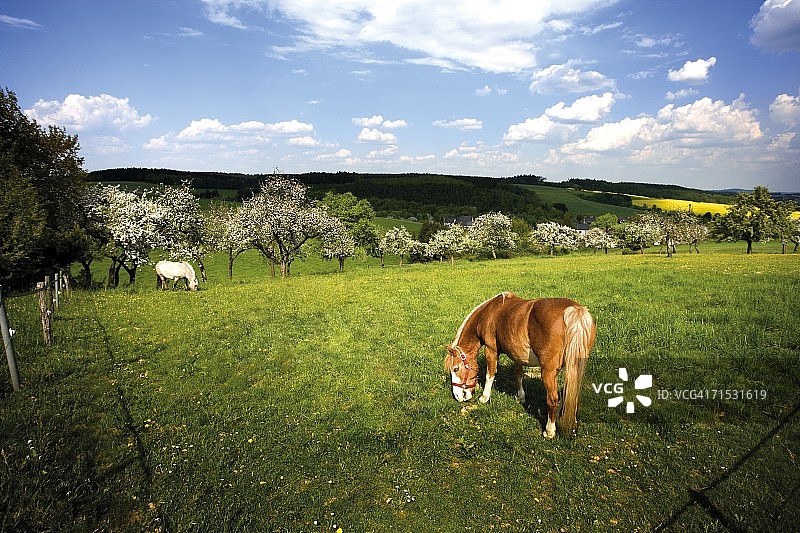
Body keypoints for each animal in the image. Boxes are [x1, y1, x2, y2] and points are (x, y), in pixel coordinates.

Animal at [446, 292, 595, 438]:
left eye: (456, 369)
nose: (457, 396)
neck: (489, 313)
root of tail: (574, 310)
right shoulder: (516, 355)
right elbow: (518, 375)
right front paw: (520, 397)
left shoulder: (491, 350)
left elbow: (490, 375)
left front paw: (484, 398)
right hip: (574, 368)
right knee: (571, 395)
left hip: (548, 371)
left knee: (552, 399)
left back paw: (549, 431)